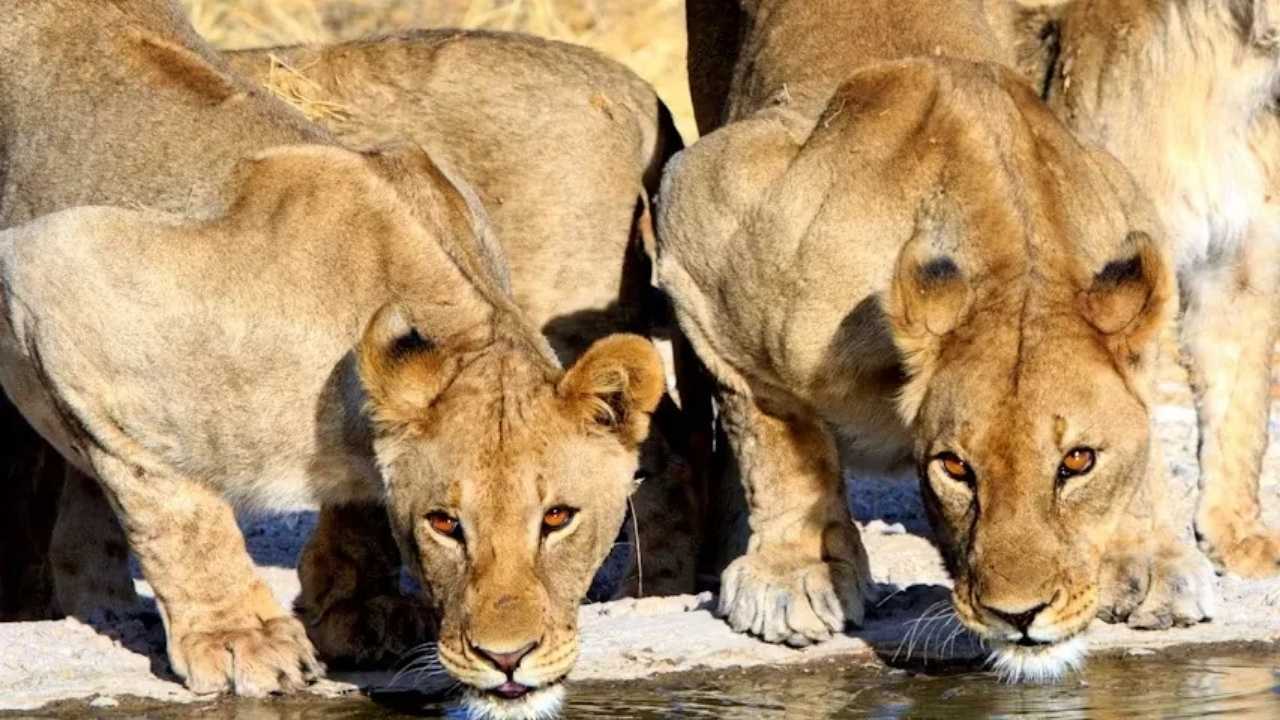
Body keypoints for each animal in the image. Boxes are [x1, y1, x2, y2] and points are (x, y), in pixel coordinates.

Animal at [0, 3, 666, 717]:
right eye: (444, 524)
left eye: (557, 518)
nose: (506, 658)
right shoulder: (56, 273)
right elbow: (171, 501)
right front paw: (239, 635)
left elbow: (362, 508)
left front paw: (357, 610)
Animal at [661, 0, 1215, 681]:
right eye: (955, 468)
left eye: (1078, 461)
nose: (1018, 616)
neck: (1011, 271)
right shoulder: (703, 221)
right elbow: (777, 434)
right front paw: (795, 573)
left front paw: (1151, 557)